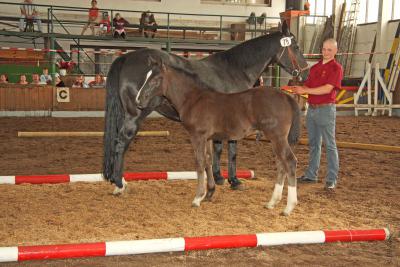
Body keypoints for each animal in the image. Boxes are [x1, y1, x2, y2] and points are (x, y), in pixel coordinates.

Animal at [102, 21, 306, 195]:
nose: (304, 73)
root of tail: (126, 57)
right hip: (135, 115)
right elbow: (230, 150)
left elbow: (217, 149)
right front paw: (233, 180)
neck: (234, 70)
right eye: (296, 46)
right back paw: (119, 183)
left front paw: (218, 177)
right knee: (122, 142)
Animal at [136, 59, 302, 216]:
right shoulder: (208, 138)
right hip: (276, 139)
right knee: (281, 164)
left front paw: (197, 198)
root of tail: (286, 97)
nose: (138, 101)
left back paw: (288, 207)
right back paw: (272, 202)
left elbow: (199, 162)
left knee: (289, 162)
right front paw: (209, 193)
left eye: (156, 79)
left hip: (277, 137)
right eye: (146, 76)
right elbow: (208, 161)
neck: (193, 99)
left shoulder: (197, 136)